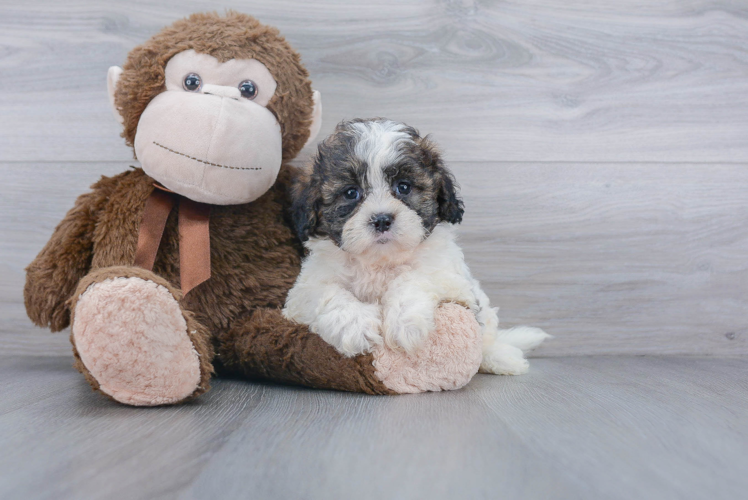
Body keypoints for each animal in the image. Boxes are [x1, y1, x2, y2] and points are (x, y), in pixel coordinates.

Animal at [284, 119, 548, 374]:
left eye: (404, 187)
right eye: (351, 193)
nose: (382, 219)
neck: (380, 261)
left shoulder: (449, 277)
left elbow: (413, 278)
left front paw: (404, 323)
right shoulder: (304, 290)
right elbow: (327, 294)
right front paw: (354, 325)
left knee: (486, 341)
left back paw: (502, 358)